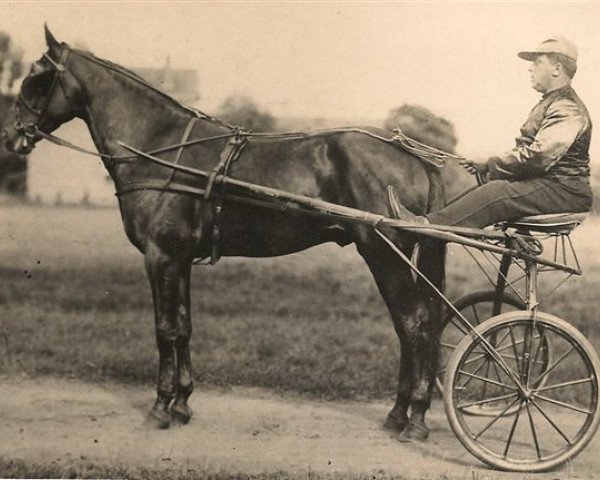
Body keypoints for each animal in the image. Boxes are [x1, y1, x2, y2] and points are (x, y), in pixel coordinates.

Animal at [3, 25, 446, 438]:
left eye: (36, 76)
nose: (11, 136)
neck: (159, 149)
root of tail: (413, 154)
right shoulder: (179, 259)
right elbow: (183, 327)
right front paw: (182, 403)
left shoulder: (159, 256)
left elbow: (164, 330)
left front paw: (160, 407)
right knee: (414, 325)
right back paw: (400, 413)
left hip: (384, 254)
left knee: (414, 323)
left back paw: (413, 418)